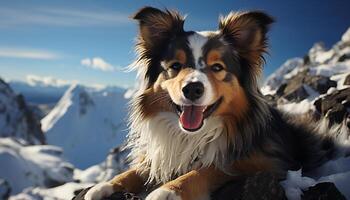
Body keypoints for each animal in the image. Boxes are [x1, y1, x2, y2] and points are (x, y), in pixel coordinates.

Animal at [85, 6, 344, 200]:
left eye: (217, 67)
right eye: (175, 66)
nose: (192, 88)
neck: (191, 136)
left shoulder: (265, 161)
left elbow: (208, 169)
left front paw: (169, 191)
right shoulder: (161, 153)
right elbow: (135, 171)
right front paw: (105, 186)